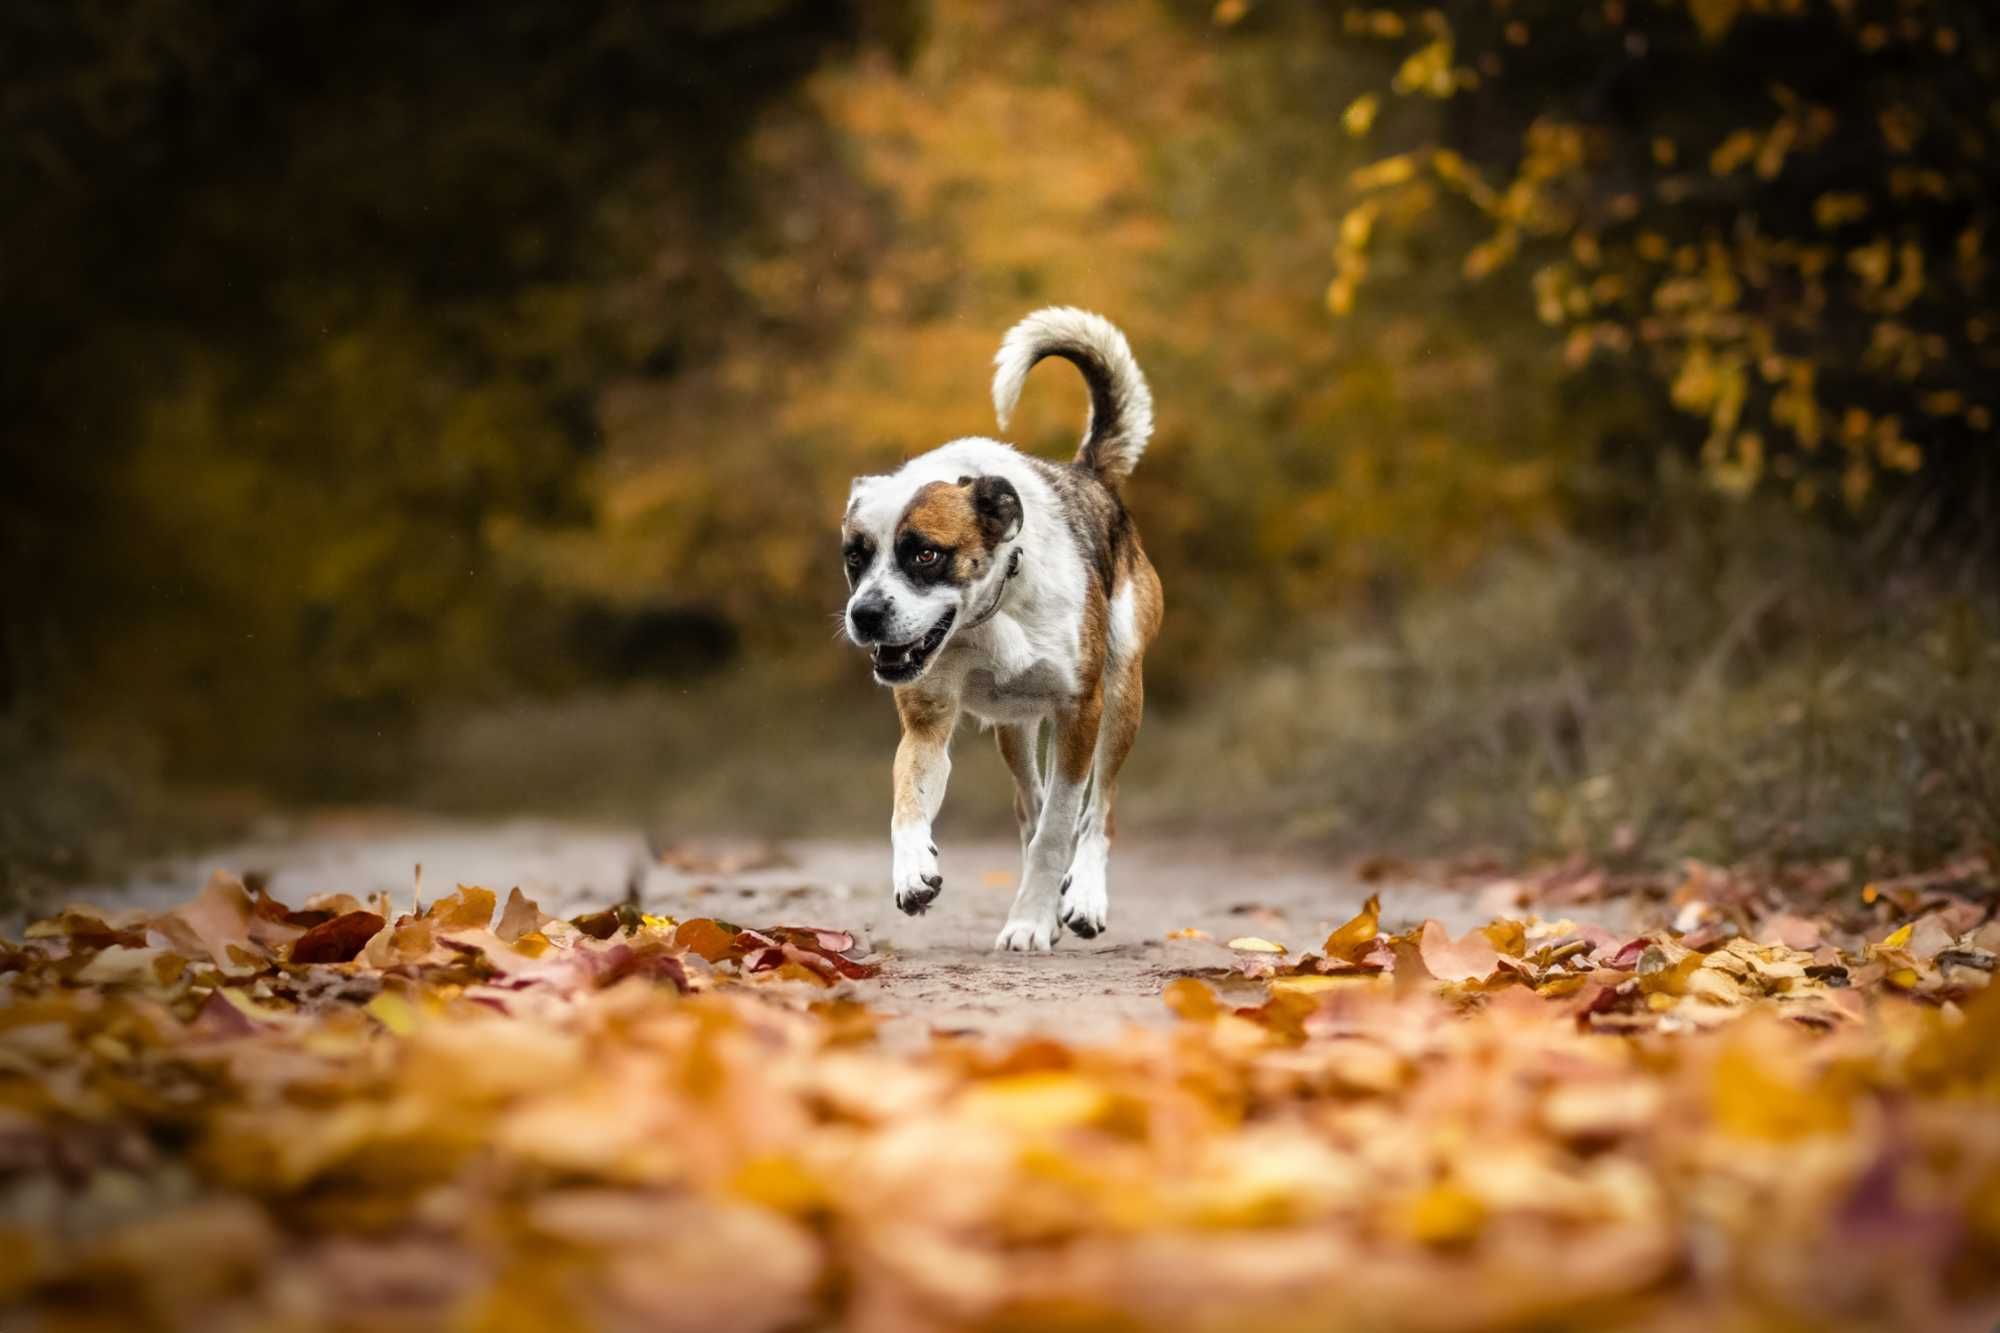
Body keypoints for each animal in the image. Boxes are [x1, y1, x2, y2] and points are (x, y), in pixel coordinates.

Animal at [840, 306, 1160, 948]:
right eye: (854, 558)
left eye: (925, 554)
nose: (865, 615)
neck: (990, 614)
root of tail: (1090, 474)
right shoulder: (928, 721)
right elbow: (908, 798)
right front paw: (913, 871)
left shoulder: (1080, 712)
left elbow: (1062, 826)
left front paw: (1031, 921)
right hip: (1015, 728)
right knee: (1029, 804)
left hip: (1122, 695)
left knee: (1098, 808)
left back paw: (1083, 896)